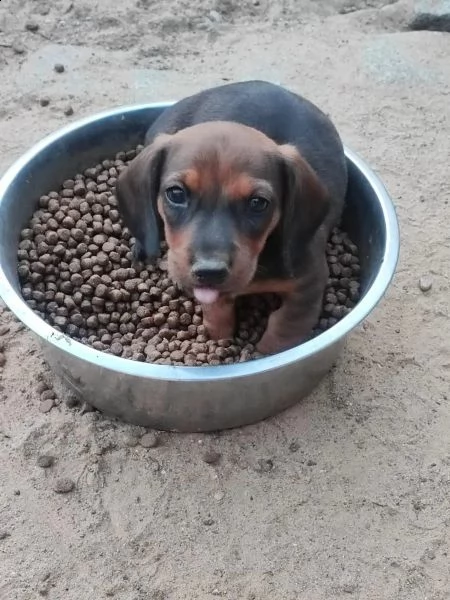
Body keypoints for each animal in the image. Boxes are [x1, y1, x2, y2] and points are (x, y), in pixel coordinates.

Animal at [116, 81, 348, 354]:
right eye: (176, 193)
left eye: (258, 203)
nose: (209, 272)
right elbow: (218, 313)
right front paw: (220, 338)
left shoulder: (309, 284)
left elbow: (284, 328)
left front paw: (265, 353)